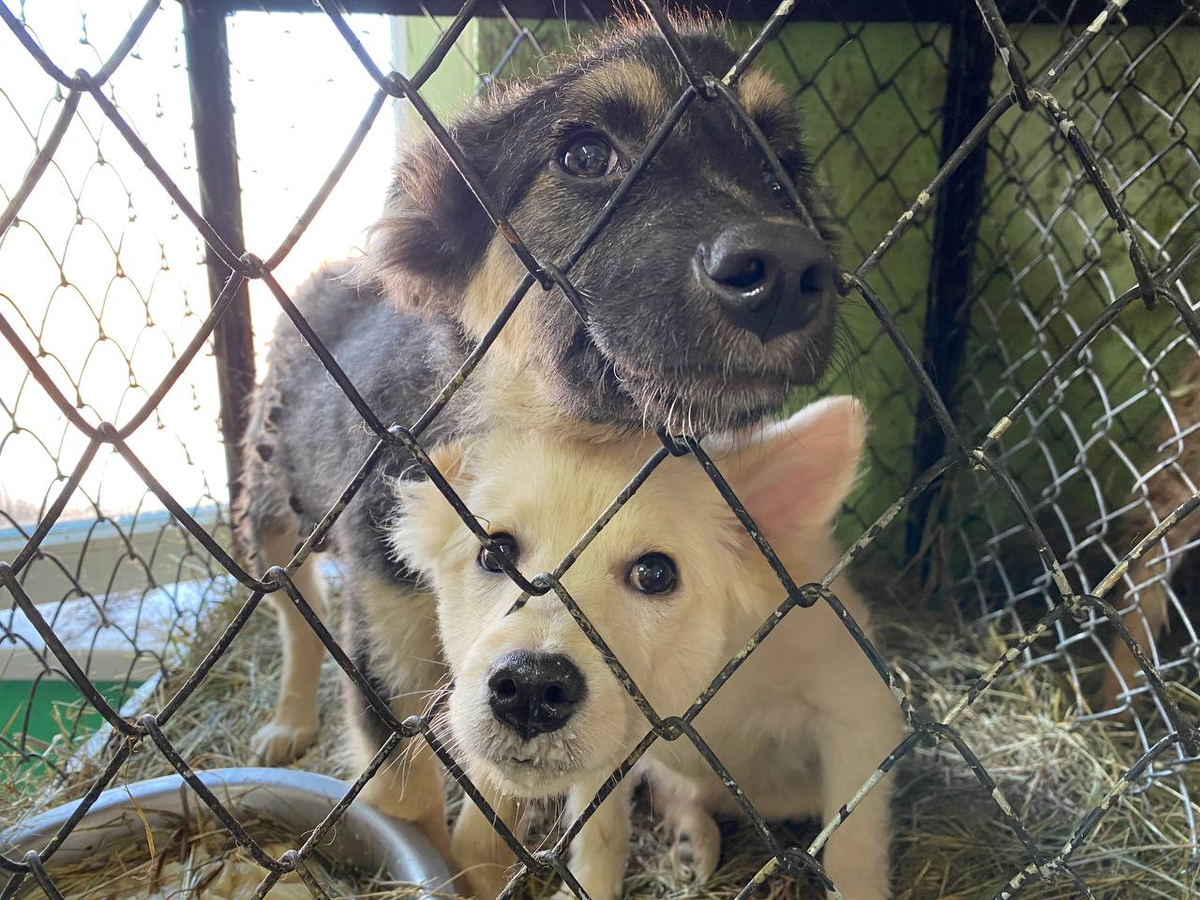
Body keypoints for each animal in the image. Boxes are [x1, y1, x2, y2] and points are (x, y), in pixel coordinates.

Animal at [238, 15, 844, 897]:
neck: (552, 436)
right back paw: (286, 718)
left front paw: (487, 861)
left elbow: (500, 784)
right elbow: (410, 797)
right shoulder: (389, 639)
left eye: (778, 171)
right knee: (292, 613)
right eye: (585, 156)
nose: (792, 272)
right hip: (269, 511)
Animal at [391, 400, 902, 900]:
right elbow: (600, 828)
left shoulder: (860, 712)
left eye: (655, 574)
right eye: (495, 553)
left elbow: (854, 849)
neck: (697, 686)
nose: (530, 689)